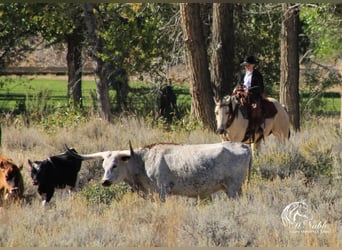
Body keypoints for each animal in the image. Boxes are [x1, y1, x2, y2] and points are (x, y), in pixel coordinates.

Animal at [64, 142, 251, 202]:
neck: (143, 161)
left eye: (115, 165)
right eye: (104, 166)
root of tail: (243, 145)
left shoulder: (161, 190)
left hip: (233, 189)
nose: (105, 181)